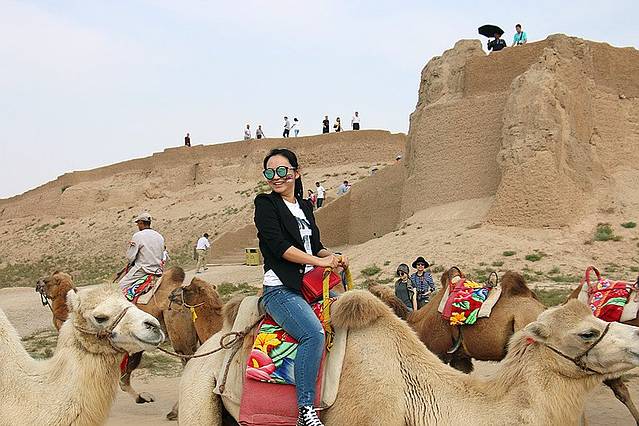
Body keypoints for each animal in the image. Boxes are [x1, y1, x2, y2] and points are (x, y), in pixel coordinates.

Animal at [35, 268, 198, 420]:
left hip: (181, 341)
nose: (37, 283)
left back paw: (175, 411)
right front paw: (142, 397)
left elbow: (123, 379)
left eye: (47, 281)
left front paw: (141, 397)